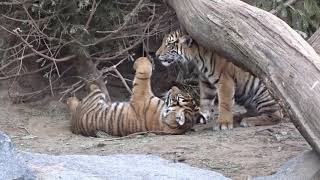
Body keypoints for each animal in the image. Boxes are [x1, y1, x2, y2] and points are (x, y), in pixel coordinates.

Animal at [66, 56, 204, 136]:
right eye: (185, 95)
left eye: (177, 98)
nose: (173, 87)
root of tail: (73, 123)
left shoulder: (141, 95)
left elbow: (144, 72)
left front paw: (141, 60)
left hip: (95, 96)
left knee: (86, 93)